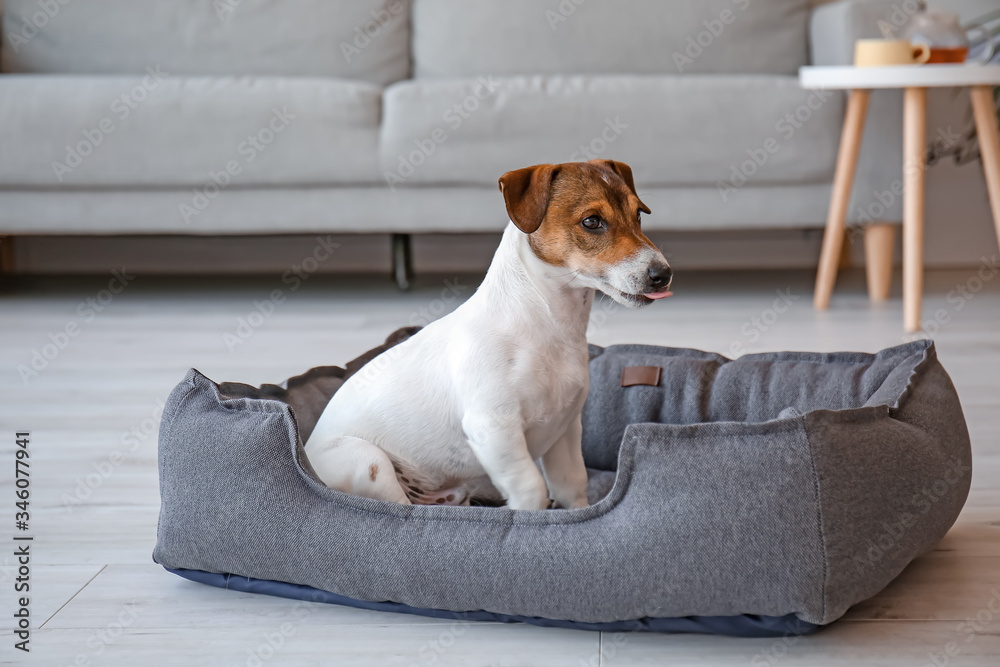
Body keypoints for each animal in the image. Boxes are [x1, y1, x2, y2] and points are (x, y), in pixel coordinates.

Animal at [306, 159, 672, 508]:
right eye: (592, 221)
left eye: (638, 214)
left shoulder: (565, 432)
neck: (548, 323)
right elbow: (531, 489)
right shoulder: (494, 429)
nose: (663, 274)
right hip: (368, 461)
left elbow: (573, 488)